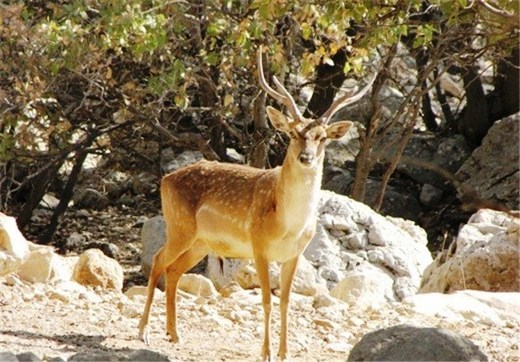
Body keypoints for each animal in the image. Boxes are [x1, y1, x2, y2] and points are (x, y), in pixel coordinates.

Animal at [138, 46, 374, 360]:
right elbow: (266, 300)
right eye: (293, 133)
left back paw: (174, 334)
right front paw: (266, 352)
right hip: (179, 225)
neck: (288, 225)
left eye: (322, 137)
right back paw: (143, 332)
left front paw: (286, 353)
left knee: (174, 269)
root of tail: (165, 179)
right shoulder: (258, 244)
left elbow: (286, 301)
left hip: (201, 241)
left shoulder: (294, 254)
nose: (306, 157)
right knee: (157, 260)